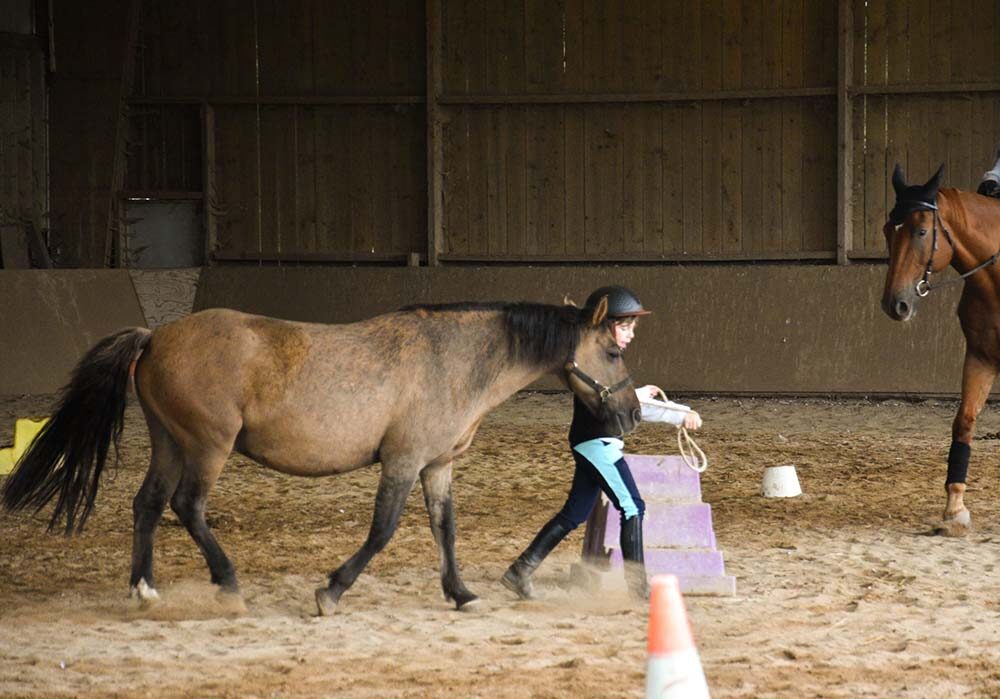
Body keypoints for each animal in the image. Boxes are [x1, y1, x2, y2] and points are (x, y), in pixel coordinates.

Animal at [1, 298, 640, 616]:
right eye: (612, 350)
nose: (634, 414)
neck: (453, 357)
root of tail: (156, 335)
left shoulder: (437, 465)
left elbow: (446, 529)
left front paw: (461, 594)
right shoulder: (403, 462)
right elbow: (382, 531)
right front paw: (330, 592)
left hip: (170, 441)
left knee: (148, 505)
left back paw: (145, 590)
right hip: (207, 445)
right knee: (188, 506)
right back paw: (227, 583)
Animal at [884, 165, 1000, 536]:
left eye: (922, 231)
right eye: (888, 230)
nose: (895, 304)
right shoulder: (981, 358)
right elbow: (964, 423)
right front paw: (955, 510)